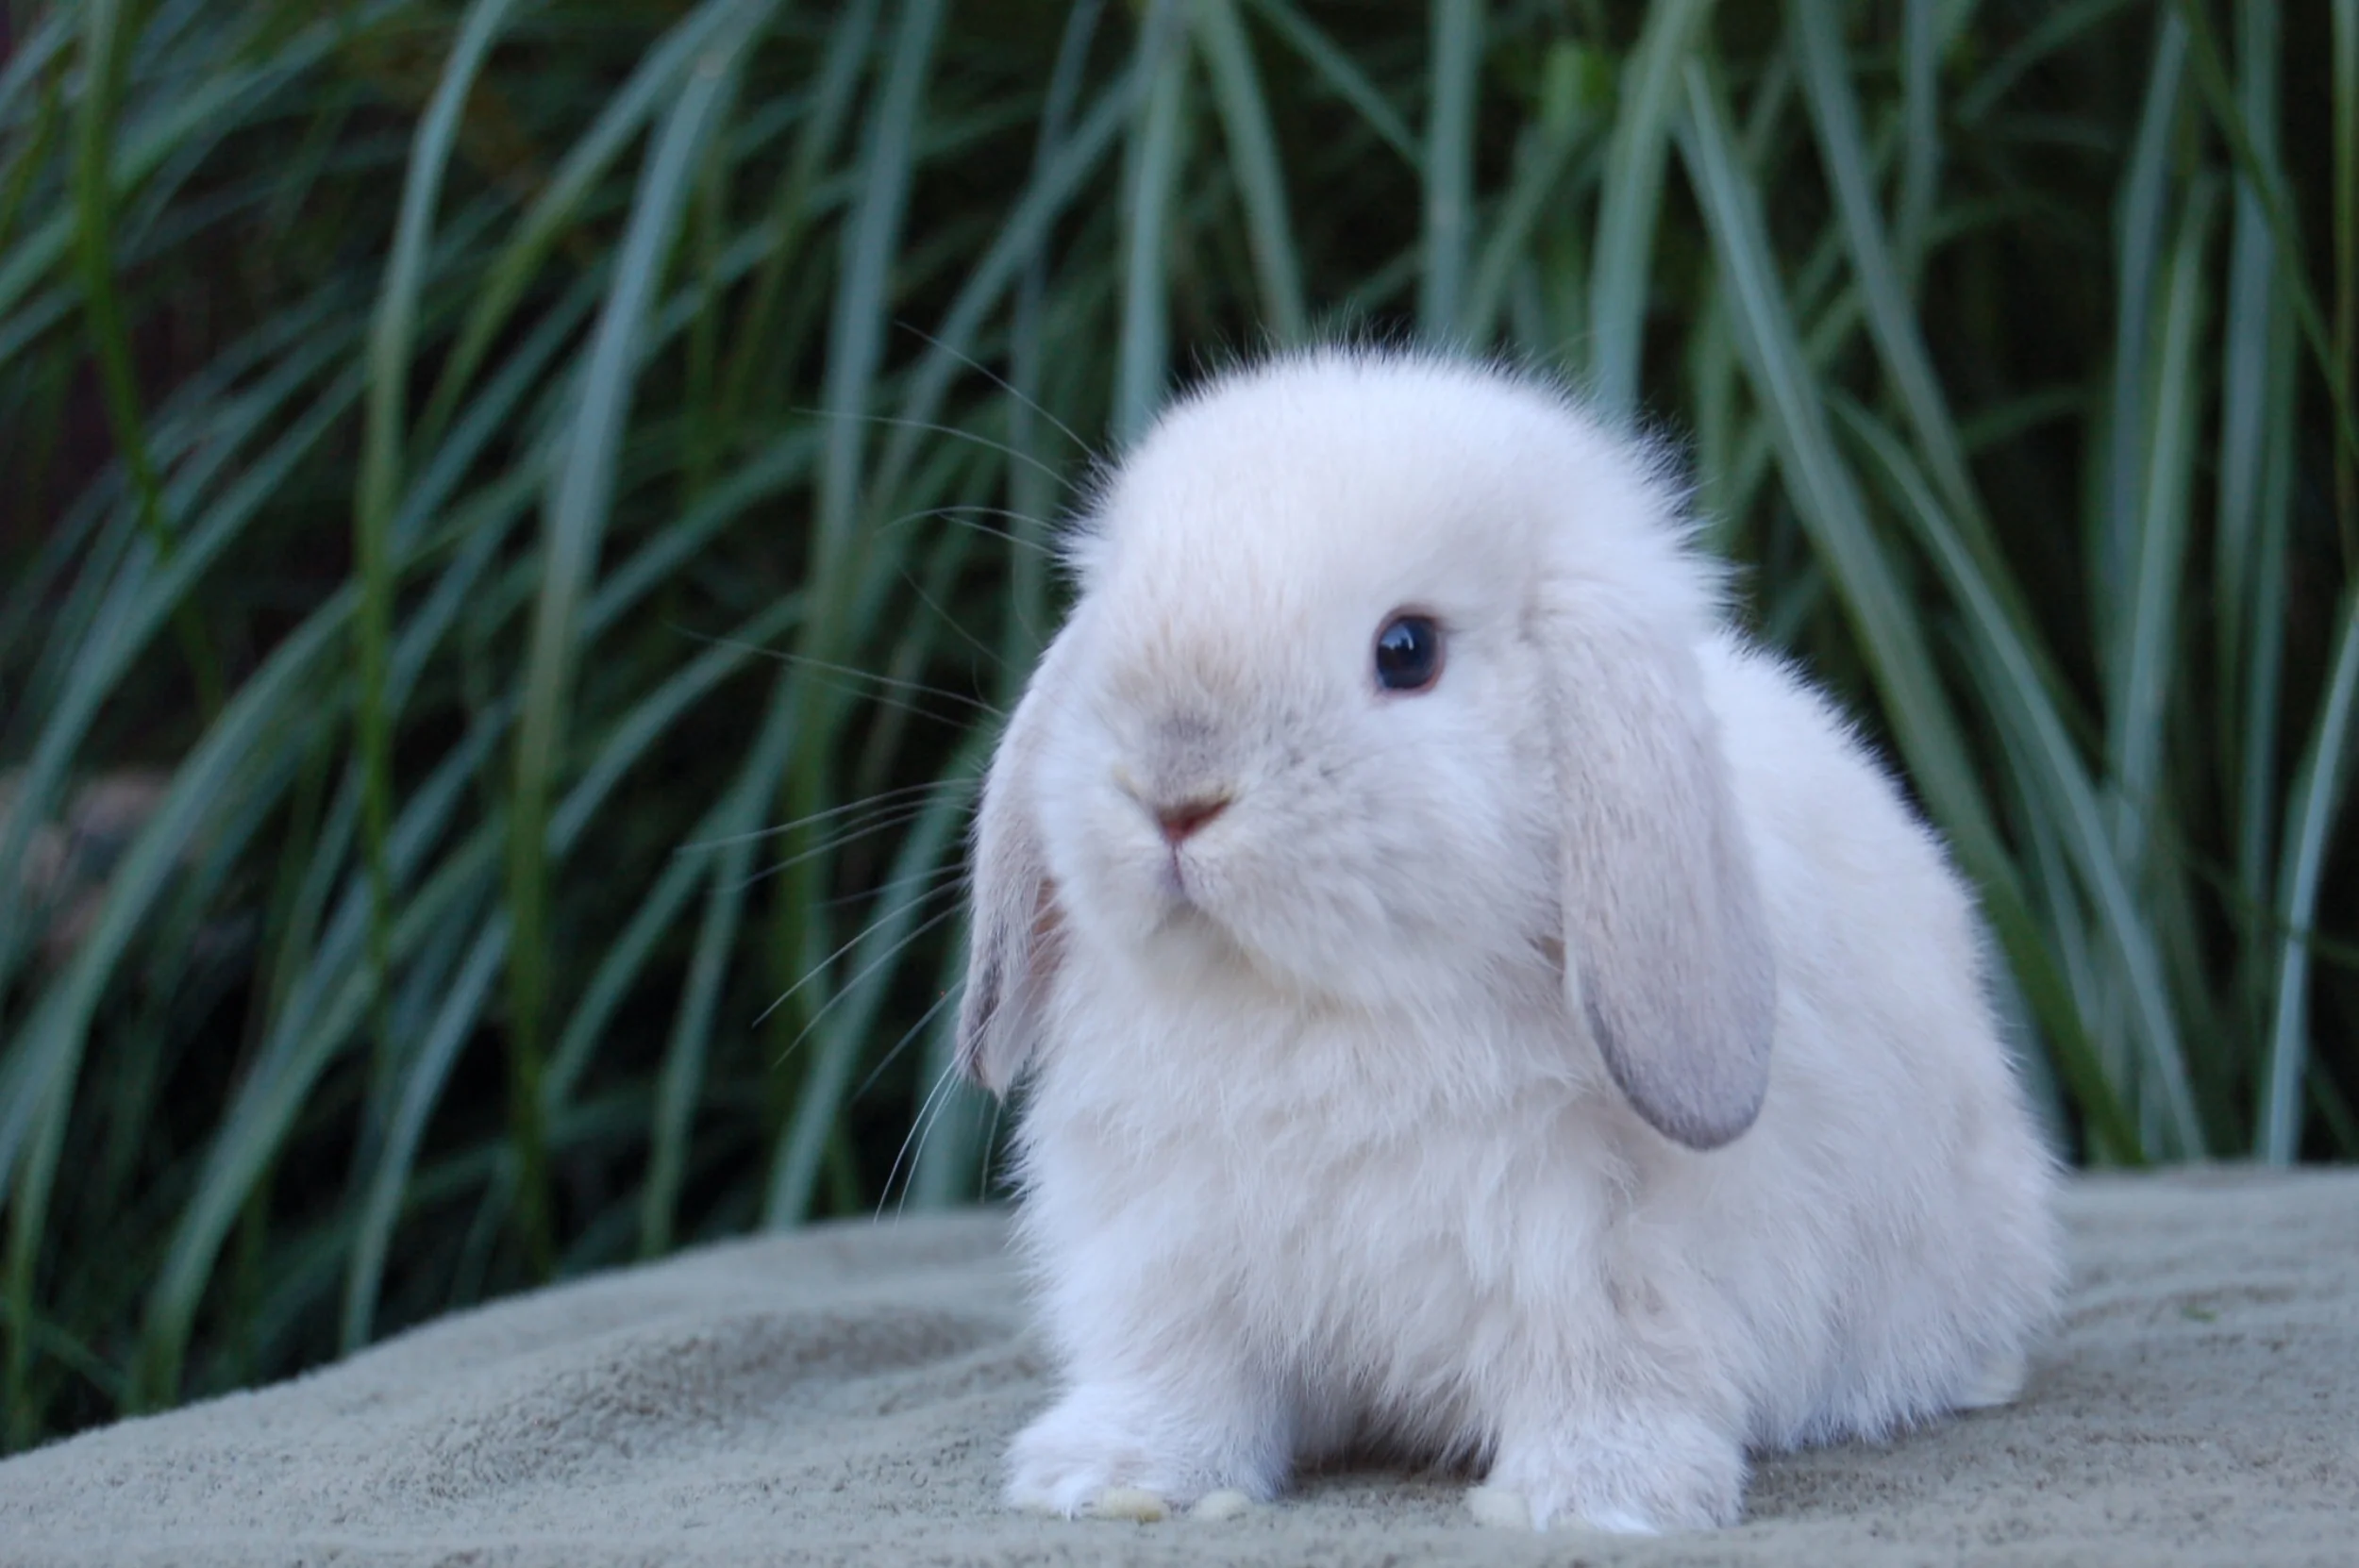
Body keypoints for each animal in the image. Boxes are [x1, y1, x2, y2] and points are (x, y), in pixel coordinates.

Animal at [953, 347, 2064, 1533]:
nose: (1172, 791)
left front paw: (1594, 1500)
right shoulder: (1171, 1255)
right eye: (1113, 614)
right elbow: (1183, 1376)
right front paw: (1112, 1480)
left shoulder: (1613, 1263)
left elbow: (1606, 1368)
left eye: (1406, 651)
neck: (1317, 1009)